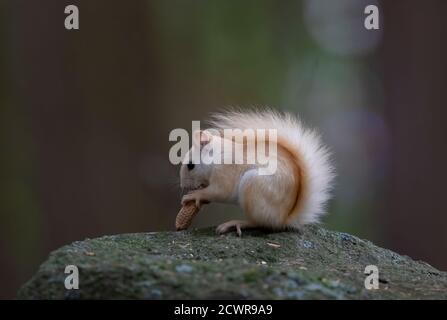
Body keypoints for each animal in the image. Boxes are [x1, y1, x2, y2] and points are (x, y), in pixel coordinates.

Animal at [180, 109, 334, 236]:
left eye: (190, 165)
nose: (183, 186)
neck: (218, 155)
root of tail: (284, 219)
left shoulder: (225, 172)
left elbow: (220, 191)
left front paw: (194, 195)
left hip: (253, 187)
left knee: (260, 223)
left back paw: (236, 223)